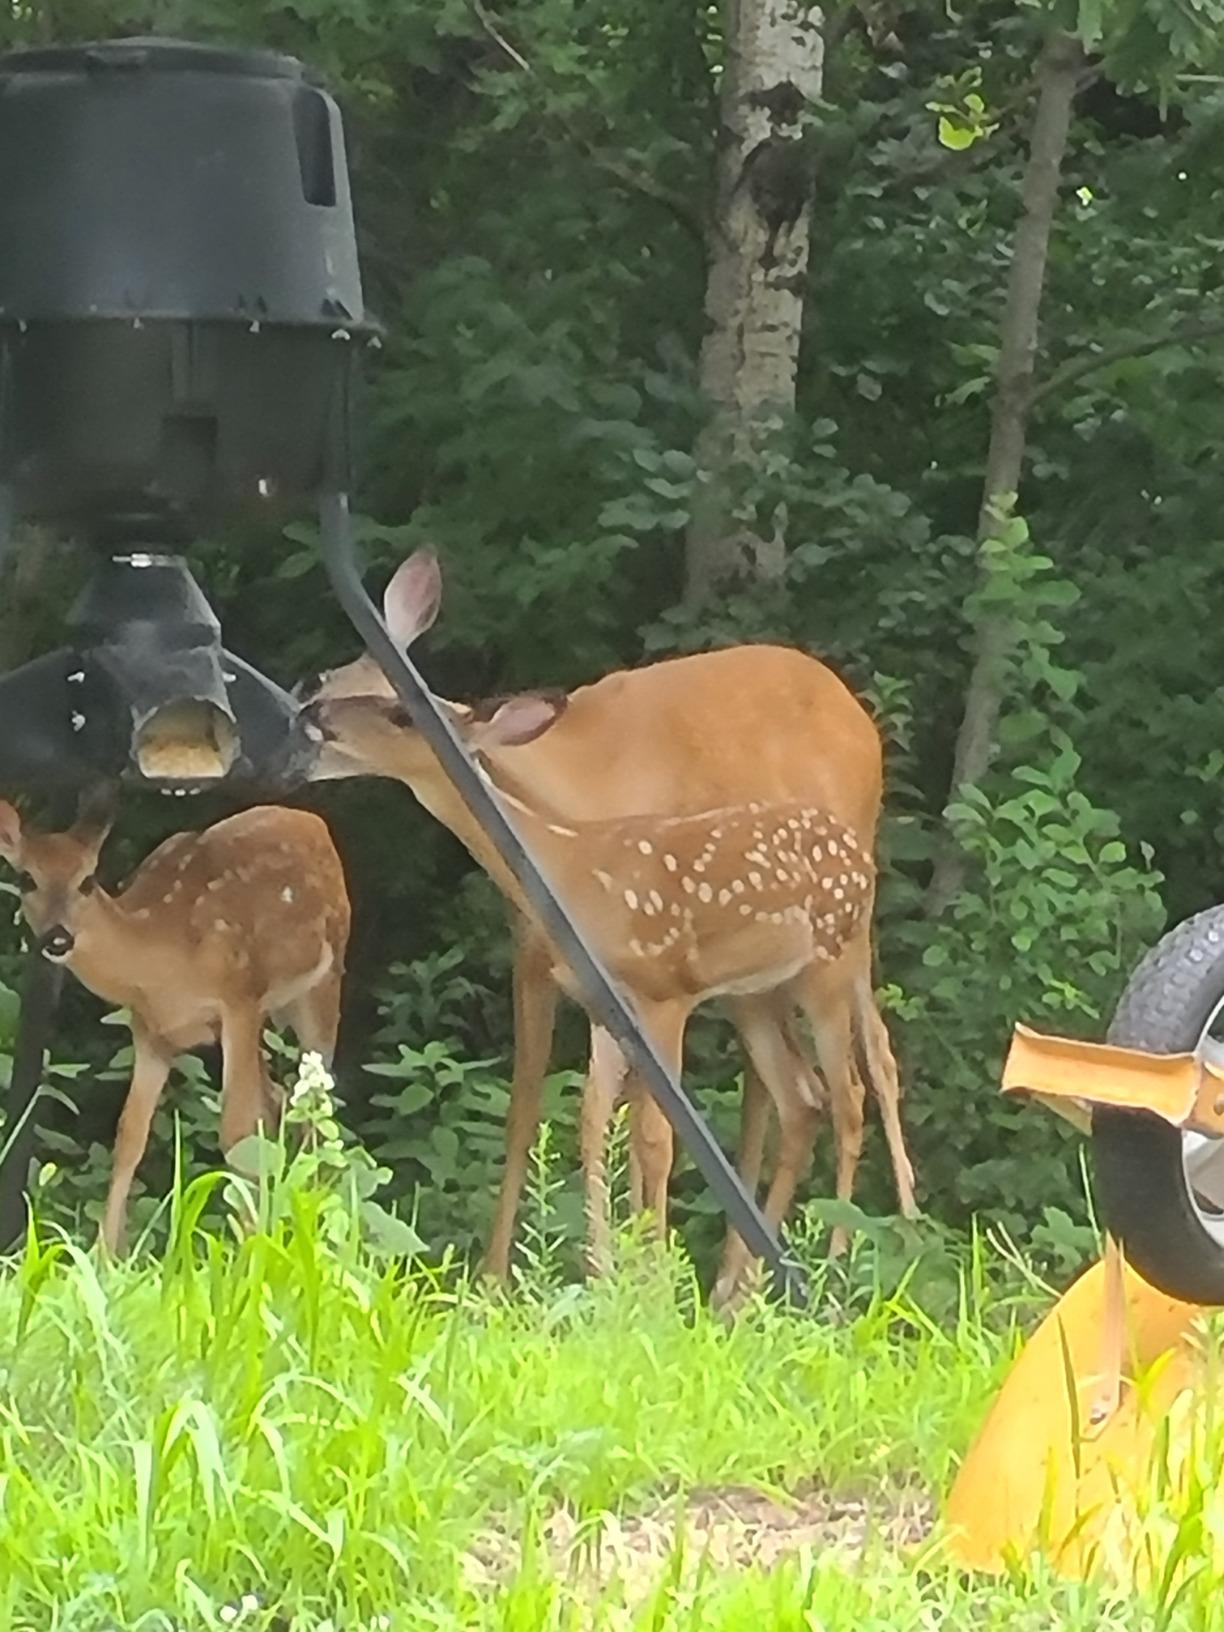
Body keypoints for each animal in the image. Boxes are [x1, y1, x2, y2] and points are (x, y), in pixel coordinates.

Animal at [0, 792, 351, 1254]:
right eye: (26, 878)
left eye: (87, 881)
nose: (58, 938)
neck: (165, 951)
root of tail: (313, 823)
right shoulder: (151, 1031)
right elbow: (129, 1136)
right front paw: (105, 1254)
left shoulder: (240, 999)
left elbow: (235, 1131)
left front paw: (249, 1247)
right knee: (276, 1099)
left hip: (324, 980)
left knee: (314, 1104)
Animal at [298, 548, 917, 1296]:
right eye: (327, 678)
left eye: (397, 707)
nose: (312, 717)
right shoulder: (584, 990)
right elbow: (574, 1116)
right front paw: (586, 1272)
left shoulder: (659, 993)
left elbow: (649, 1133)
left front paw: (640, 1277)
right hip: (762, 989)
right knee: (800, 1094)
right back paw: (745, 1284)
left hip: (828, 964)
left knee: (856, 1082)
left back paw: (837, 1261)